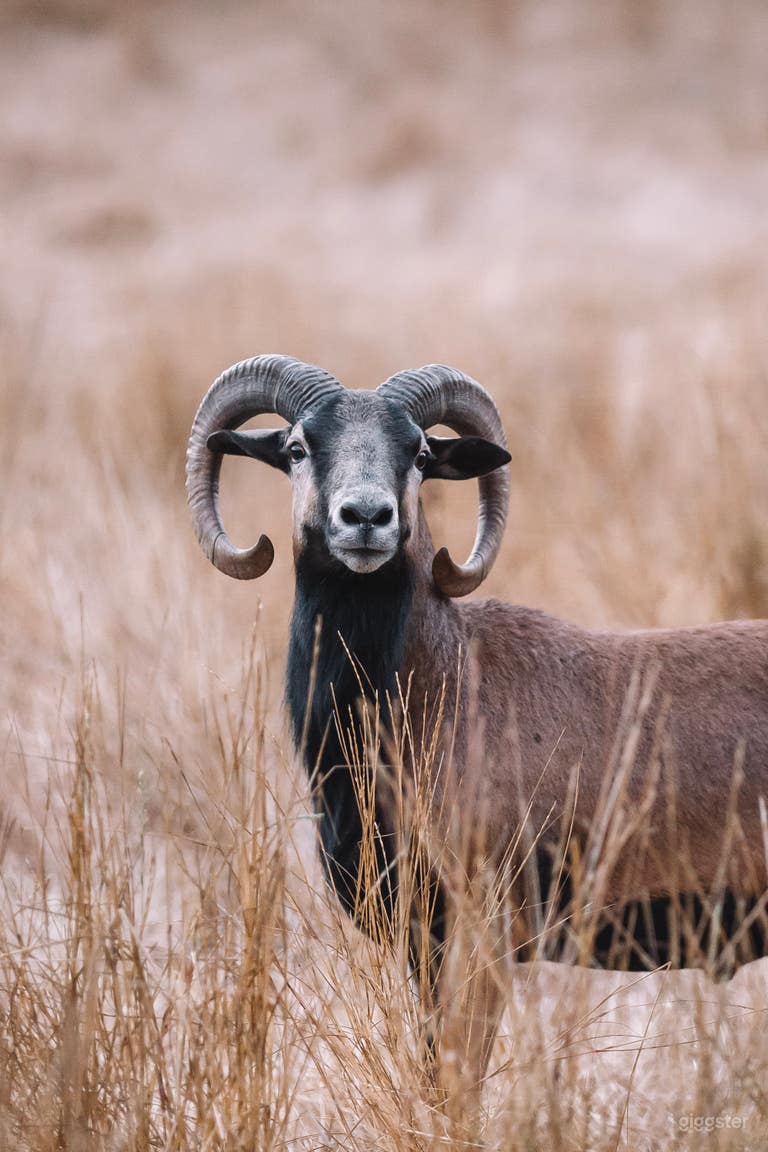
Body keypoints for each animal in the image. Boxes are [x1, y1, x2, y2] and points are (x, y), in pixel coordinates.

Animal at [186, 354, 768, 1099]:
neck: (438, 697)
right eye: (296, 447)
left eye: (419, 452)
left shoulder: (481, 940)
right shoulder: (425, 948)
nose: (367, 518)